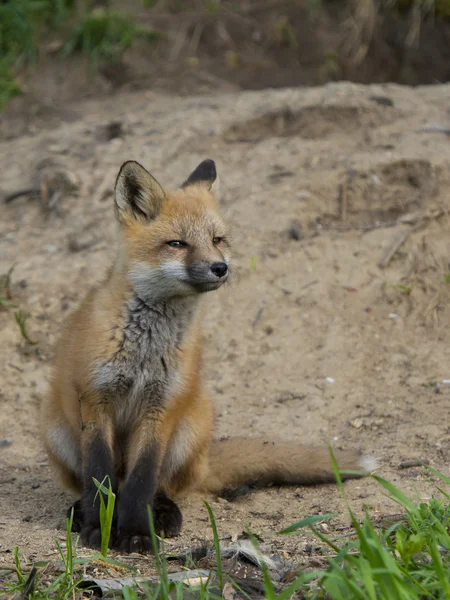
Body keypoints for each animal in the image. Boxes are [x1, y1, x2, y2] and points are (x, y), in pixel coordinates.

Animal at [41, 158, 376, 552]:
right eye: (177, 244)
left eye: (217, 240)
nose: (221, 267)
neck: (145, 349)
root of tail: (204, 459)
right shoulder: (95, 401)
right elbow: (99, 478)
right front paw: (100, 527)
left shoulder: (162, 406)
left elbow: (142, 480)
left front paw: (137, 531)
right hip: (57, 433)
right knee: (100, 483)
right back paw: (81, 512)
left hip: (188, 430)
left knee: (163, 487)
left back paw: (163, 514)